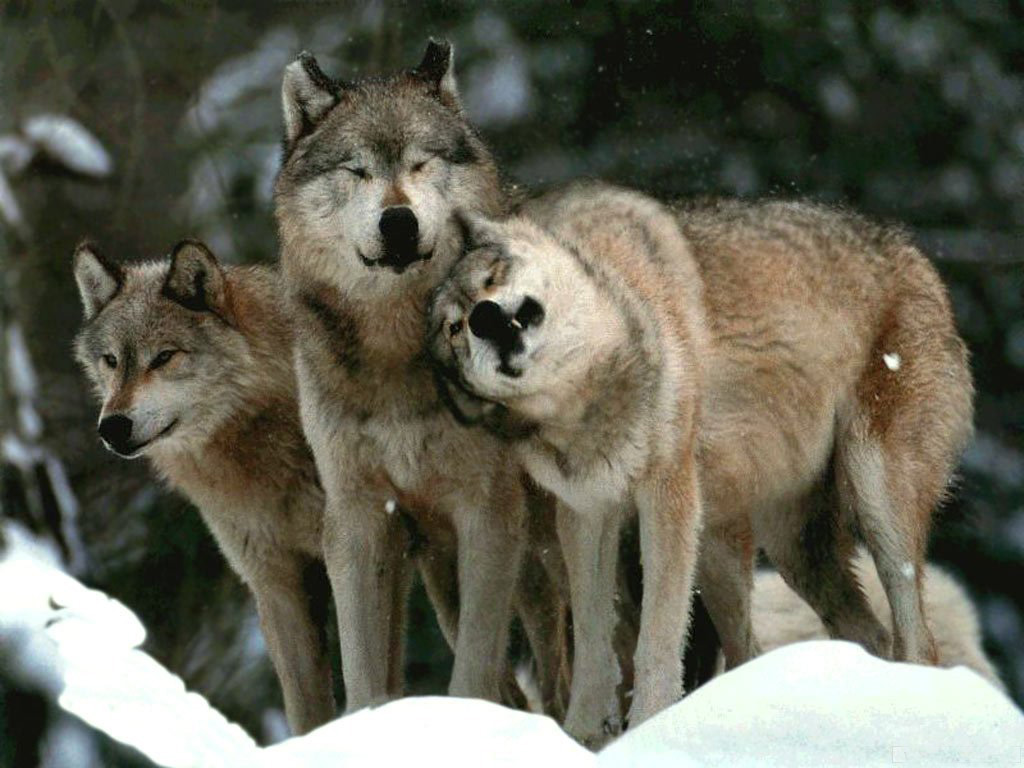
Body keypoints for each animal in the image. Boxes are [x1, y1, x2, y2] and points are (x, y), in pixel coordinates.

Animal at [272, 41, 569, 716]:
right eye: (357, 171)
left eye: (421, 162)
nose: (398, 222)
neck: (396, 355)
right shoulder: (357, 518)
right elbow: (363, 675)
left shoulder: (489, 513)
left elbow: (472, 674)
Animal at [428, 180, 970, 745]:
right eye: (453, 329)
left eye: (491, 278)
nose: (485, 318)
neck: (592, 395)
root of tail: (915, 256)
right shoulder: (586, 513)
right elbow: (595, 644)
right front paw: (580, 738)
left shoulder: (668, 493)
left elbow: (658, 637)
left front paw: (646, 728)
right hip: (769, 551)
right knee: (849, 639)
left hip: (871, 503)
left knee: (917, 641)